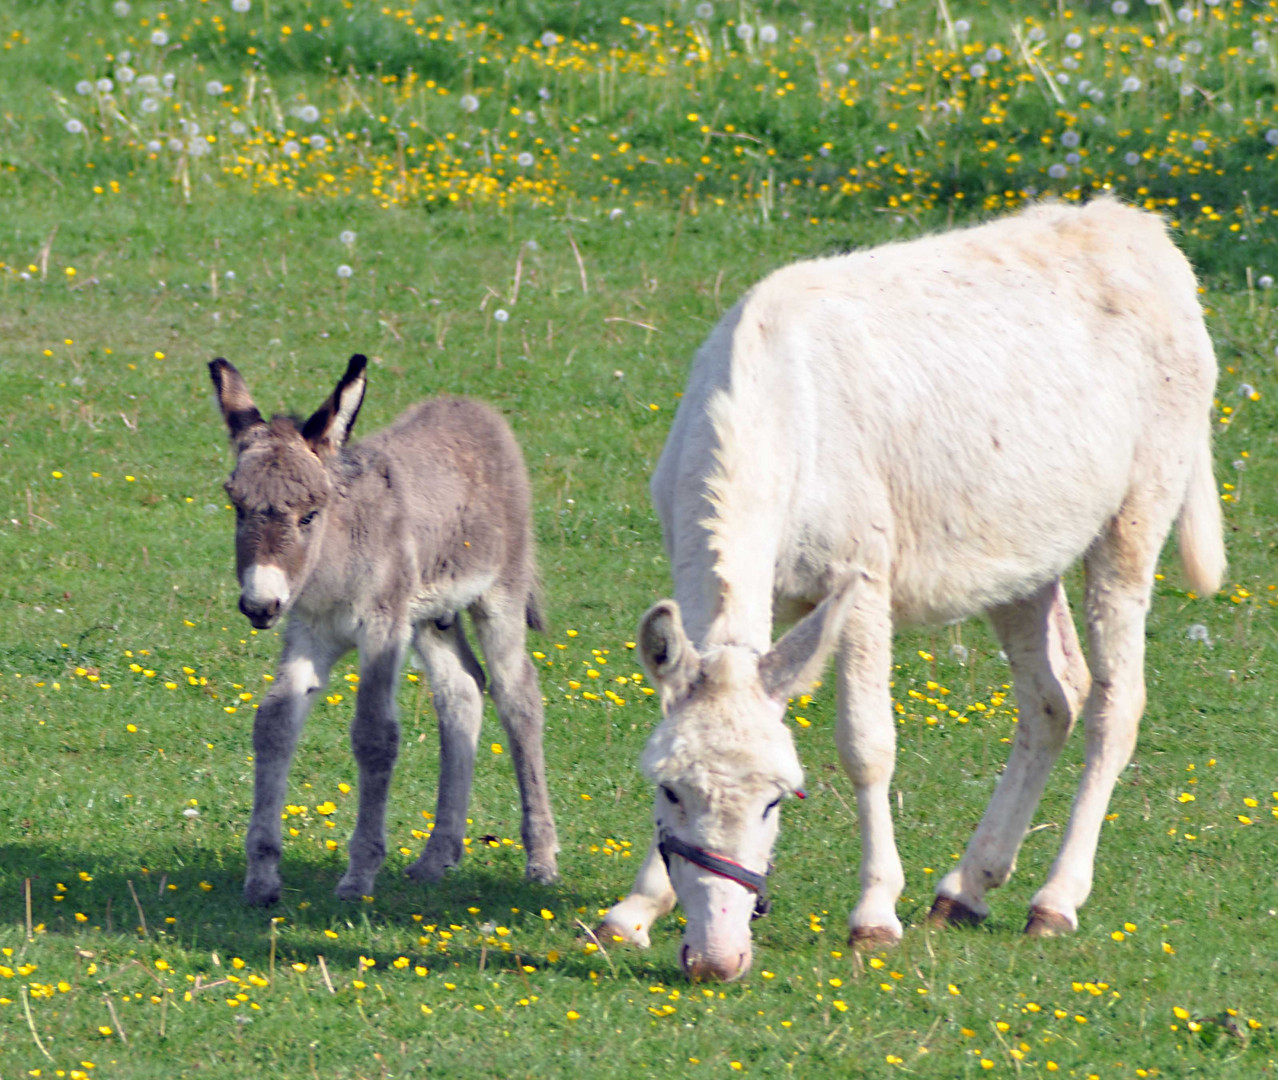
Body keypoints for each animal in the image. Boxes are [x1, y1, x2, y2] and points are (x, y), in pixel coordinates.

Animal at [209, 355, 559, 899]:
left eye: (310, 514)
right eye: (238, 506)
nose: (260, 605)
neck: (332, 564)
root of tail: (470, 406)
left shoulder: (380, 630)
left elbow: (375, 735)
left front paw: (359, 875)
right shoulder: (310, 633)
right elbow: (273, 723)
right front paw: (262, 878)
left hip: (498, 594)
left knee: (517, 695)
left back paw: (540, 859)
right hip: (428, 618)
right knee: (462, 691)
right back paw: (436, 858)